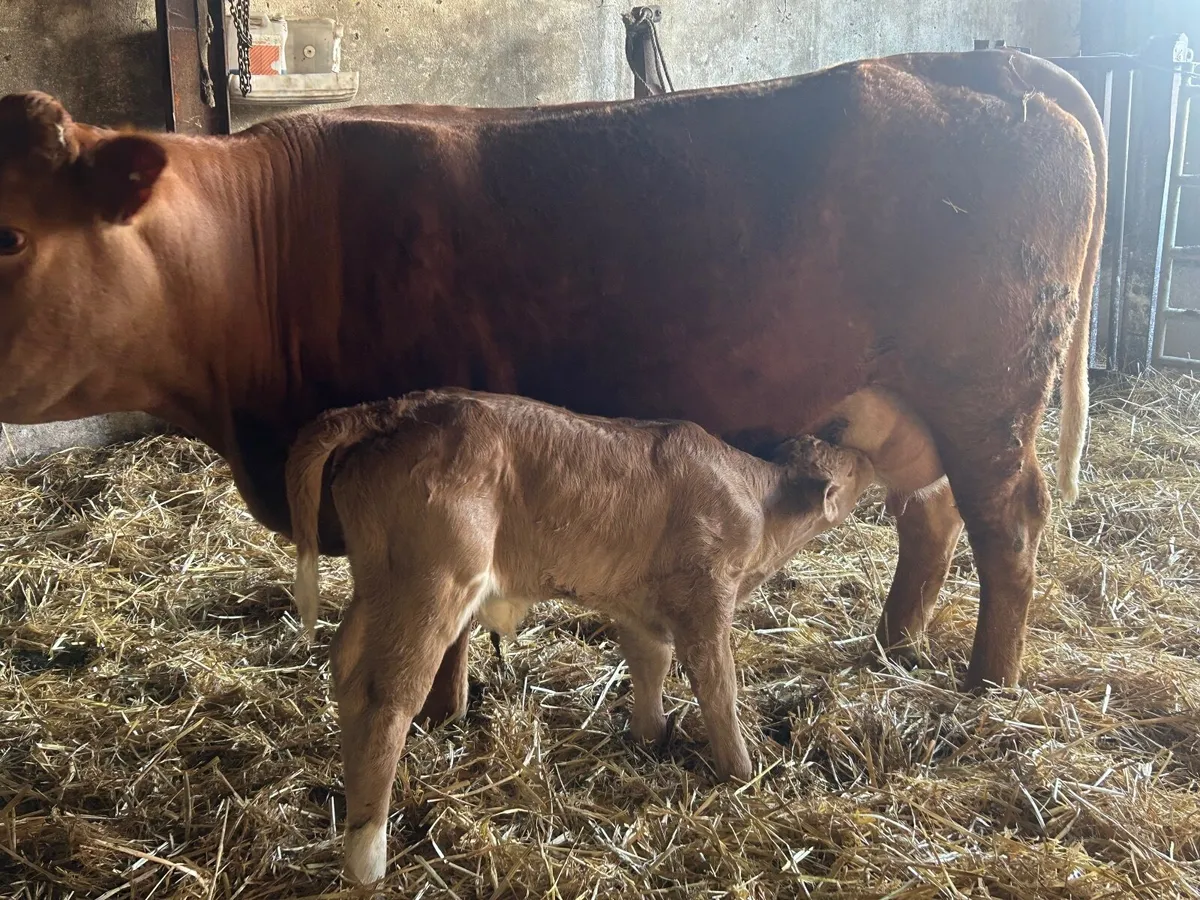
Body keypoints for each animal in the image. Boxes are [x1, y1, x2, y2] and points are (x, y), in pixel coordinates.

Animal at [0, 47, 1104, 738]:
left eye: (9, 233)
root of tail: (981, 62)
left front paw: (437, 714)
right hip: (908, 407)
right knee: (934, 520)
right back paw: (893, 643)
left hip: (987, 397)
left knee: (1009, 525)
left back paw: (987, 682)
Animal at [285, 388, 888, 882]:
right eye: (848, 467)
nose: (869, 457)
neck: (758, 509)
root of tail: (397, 408)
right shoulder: (706, 593)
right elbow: (718, 685)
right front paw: (742, 772)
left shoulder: (641, 606)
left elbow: (649, 663)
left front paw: (651, 737)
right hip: (434, 579)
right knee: (386, 696)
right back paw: (367, 854)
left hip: (380, 582)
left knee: (345, 667)